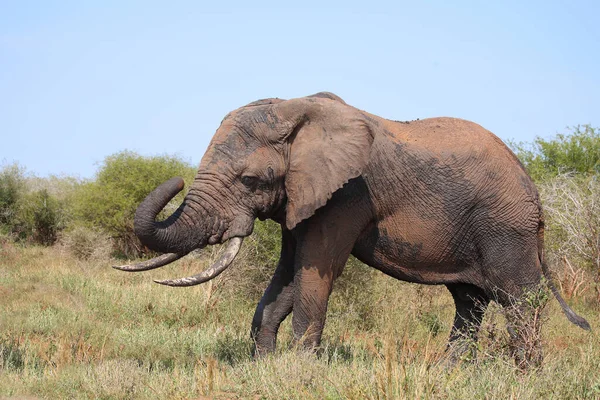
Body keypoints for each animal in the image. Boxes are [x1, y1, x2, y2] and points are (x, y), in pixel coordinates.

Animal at [113, 91, 592, 366]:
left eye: (248, 181)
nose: (174, 181)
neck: (298, 111)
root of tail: (532, 187)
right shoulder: (303, 197)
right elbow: (287, 277)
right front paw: (263, 368)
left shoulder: (347, 194)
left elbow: (314, 273)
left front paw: (299, 373)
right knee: (470, 301)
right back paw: (450, 374)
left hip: (505, 226)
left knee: (519, 299)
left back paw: (524, 377)